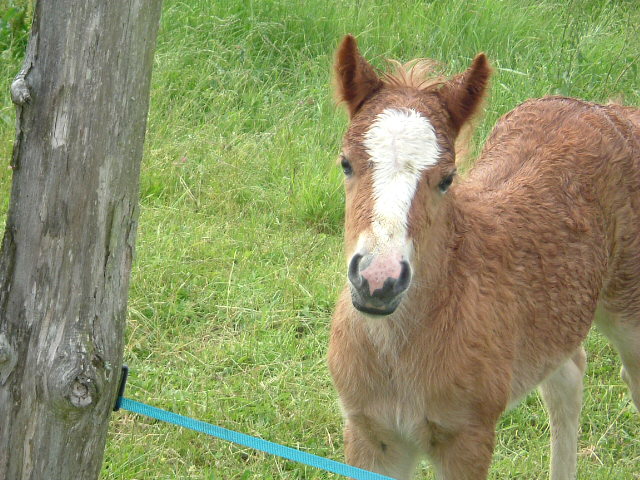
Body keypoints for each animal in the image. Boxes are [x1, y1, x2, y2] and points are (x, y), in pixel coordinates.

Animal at [330, 34, 640, 480]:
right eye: (345, 163)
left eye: (447, 179)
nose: (378, 282)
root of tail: (609, 110)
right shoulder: (371, 434)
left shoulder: (468, 436)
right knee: (566, 375)